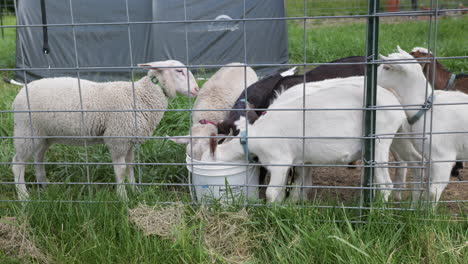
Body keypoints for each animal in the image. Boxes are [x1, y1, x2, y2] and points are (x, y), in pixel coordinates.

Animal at [12, 59, 199, 200]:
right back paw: (23, 196)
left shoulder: (129, 140)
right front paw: (123, 197)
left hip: (42, 135)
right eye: (179, 71)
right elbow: (121, 170)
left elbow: (130, 166)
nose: (197, 89)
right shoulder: (117, 138)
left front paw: (134, 190)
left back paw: (45, 184)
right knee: (17, 163)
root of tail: (18, 96)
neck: (141, 95)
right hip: (26, 131)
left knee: (39, 158)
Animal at [202, 75, 420, 203]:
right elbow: (295, 185)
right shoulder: (298, 160)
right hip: (398, 136)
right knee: (415, 160)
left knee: (385, 183)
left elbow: (273, 192)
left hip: (379, 140)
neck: (255, 135)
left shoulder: (280, 160)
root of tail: (396, 104)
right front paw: (291, 206)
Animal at [378, 47, 466, 204]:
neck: (426, 108)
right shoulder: (432, 157)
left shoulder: (443, 157)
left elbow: (433, 192)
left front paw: (428, 211)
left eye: (387, 67)